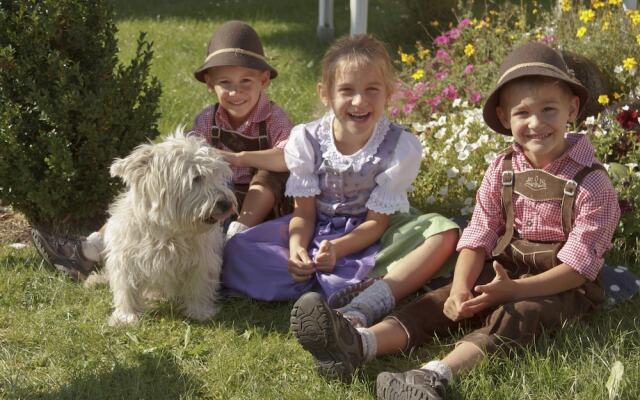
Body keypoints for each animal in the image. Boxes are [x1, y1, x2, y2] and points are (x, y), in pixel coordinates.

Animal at [94, 130, 234, 326]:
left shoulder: (202, 260)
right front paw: (126, 317)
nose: (226, 204)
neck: (167, 230)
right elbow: (126, 289)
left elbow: (199, 286)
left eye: (217, 175)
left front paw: (200, 312)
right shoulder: (125, 259)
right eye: (196, 177)